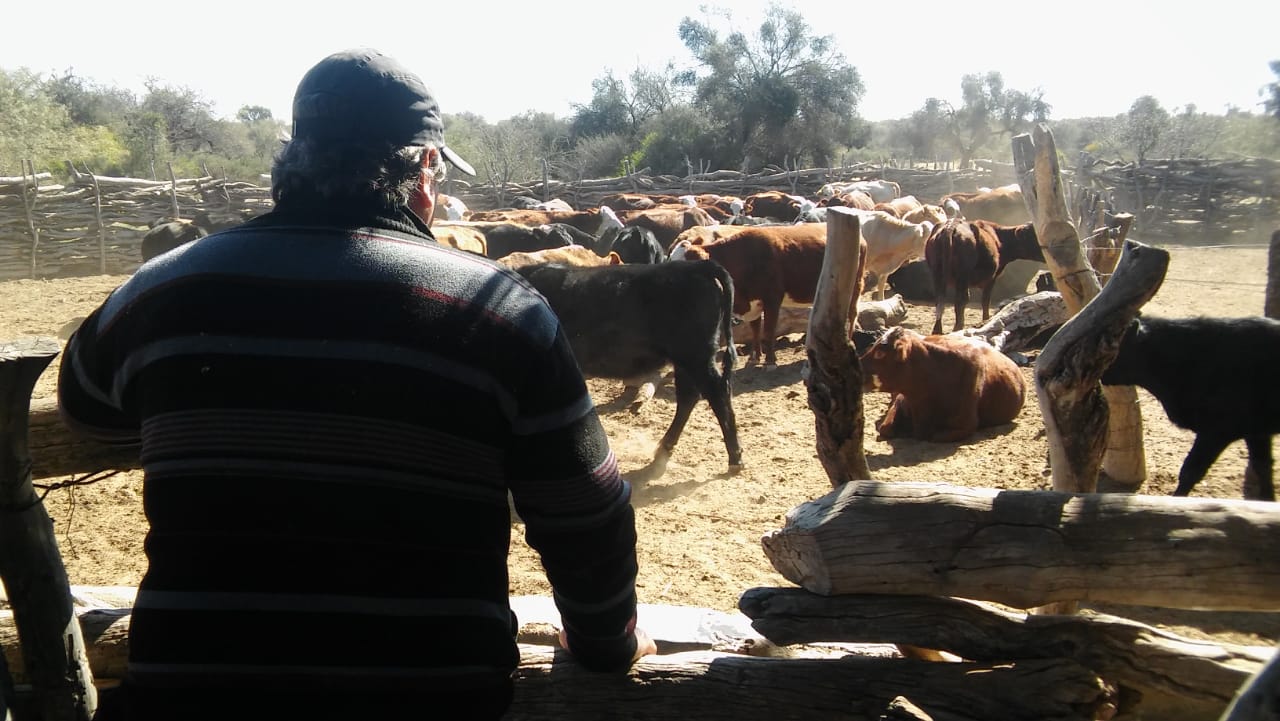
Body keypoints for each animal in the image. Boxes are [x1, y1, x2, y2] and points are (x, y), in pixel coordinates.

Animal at [514, 259, 747, 473]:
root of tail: (696, 265)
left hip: (696, 356)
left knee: (717, 395)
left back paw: (735, 458)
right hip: (686, 361)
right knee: (689, 397)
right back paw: (665, 447)